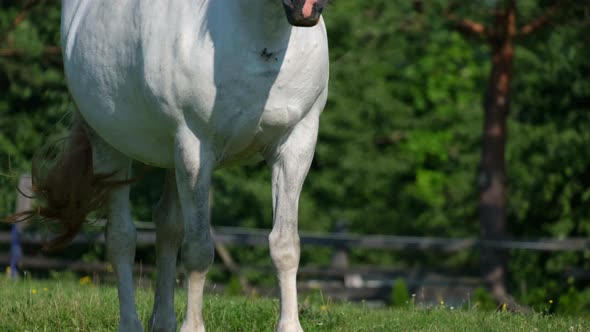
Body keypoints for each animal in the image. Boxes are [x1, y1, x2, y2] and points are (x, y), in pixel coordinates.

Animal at [42, 0, 330, 332]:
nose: (306, 9)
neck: (260, 41)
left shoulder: (296, 145)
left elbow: (285, 245)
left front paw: (290, 325)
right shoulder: (195, 148)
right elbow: (198, 250)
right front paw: (192, 326)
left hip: (172, 158)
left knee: (168, 228)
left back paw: (164, 321)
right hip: (110, 148)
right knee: (121, 238)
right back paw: (131, 322)